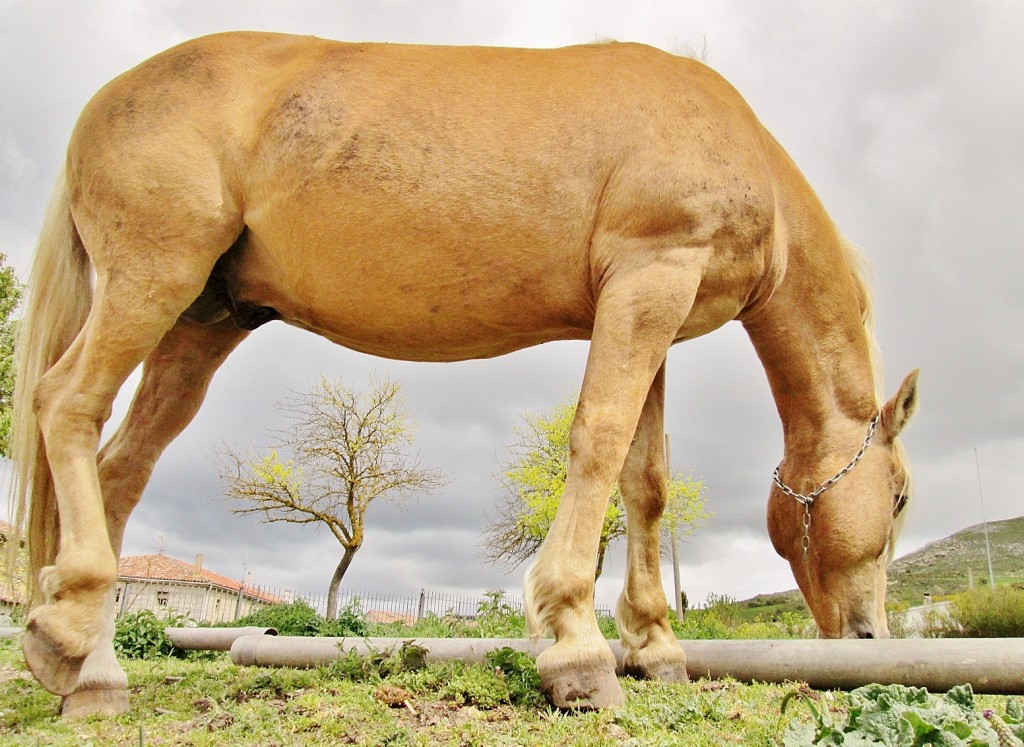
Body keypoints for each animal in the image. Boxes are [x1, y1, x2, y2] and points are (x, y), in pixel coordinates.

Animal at [10, 32, 918, 716]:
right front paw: (578, 645)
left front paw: (655, 644)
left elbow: (644, 480)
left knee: (122, 466)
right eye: (902, 496)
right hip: (150, 282)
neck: (735, 144)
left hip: (202, 322)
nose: (870, 635)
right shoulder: (650, 281)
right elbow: (598, 441)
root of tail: (106, 98)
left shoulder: (651, 310)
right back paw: (69, 628)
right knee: (68, 405)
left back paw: (90, 668)